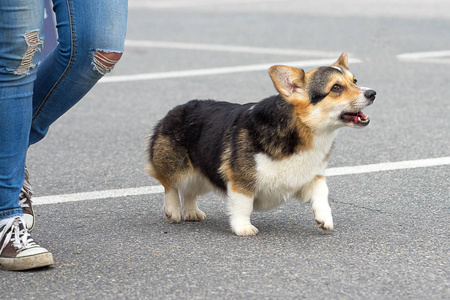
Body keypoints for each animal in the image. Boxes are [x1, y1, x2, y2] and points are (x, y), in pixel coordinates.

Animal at [146, 54, 374, 237]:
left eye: (355, 81)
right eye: (336, 88)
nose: (372, 93)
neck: (302, 131)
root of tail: (173, 110)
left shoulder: (310, 177)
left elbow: (322, 194)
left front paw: (324, 219)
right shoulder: (241, 180)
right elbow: (243, 206)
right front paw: (243, 228)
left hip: (202, 173)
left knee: (189, 191)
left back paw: (192, 211)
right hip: (176, 166)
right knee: (170, 185)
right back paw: (173, 210)